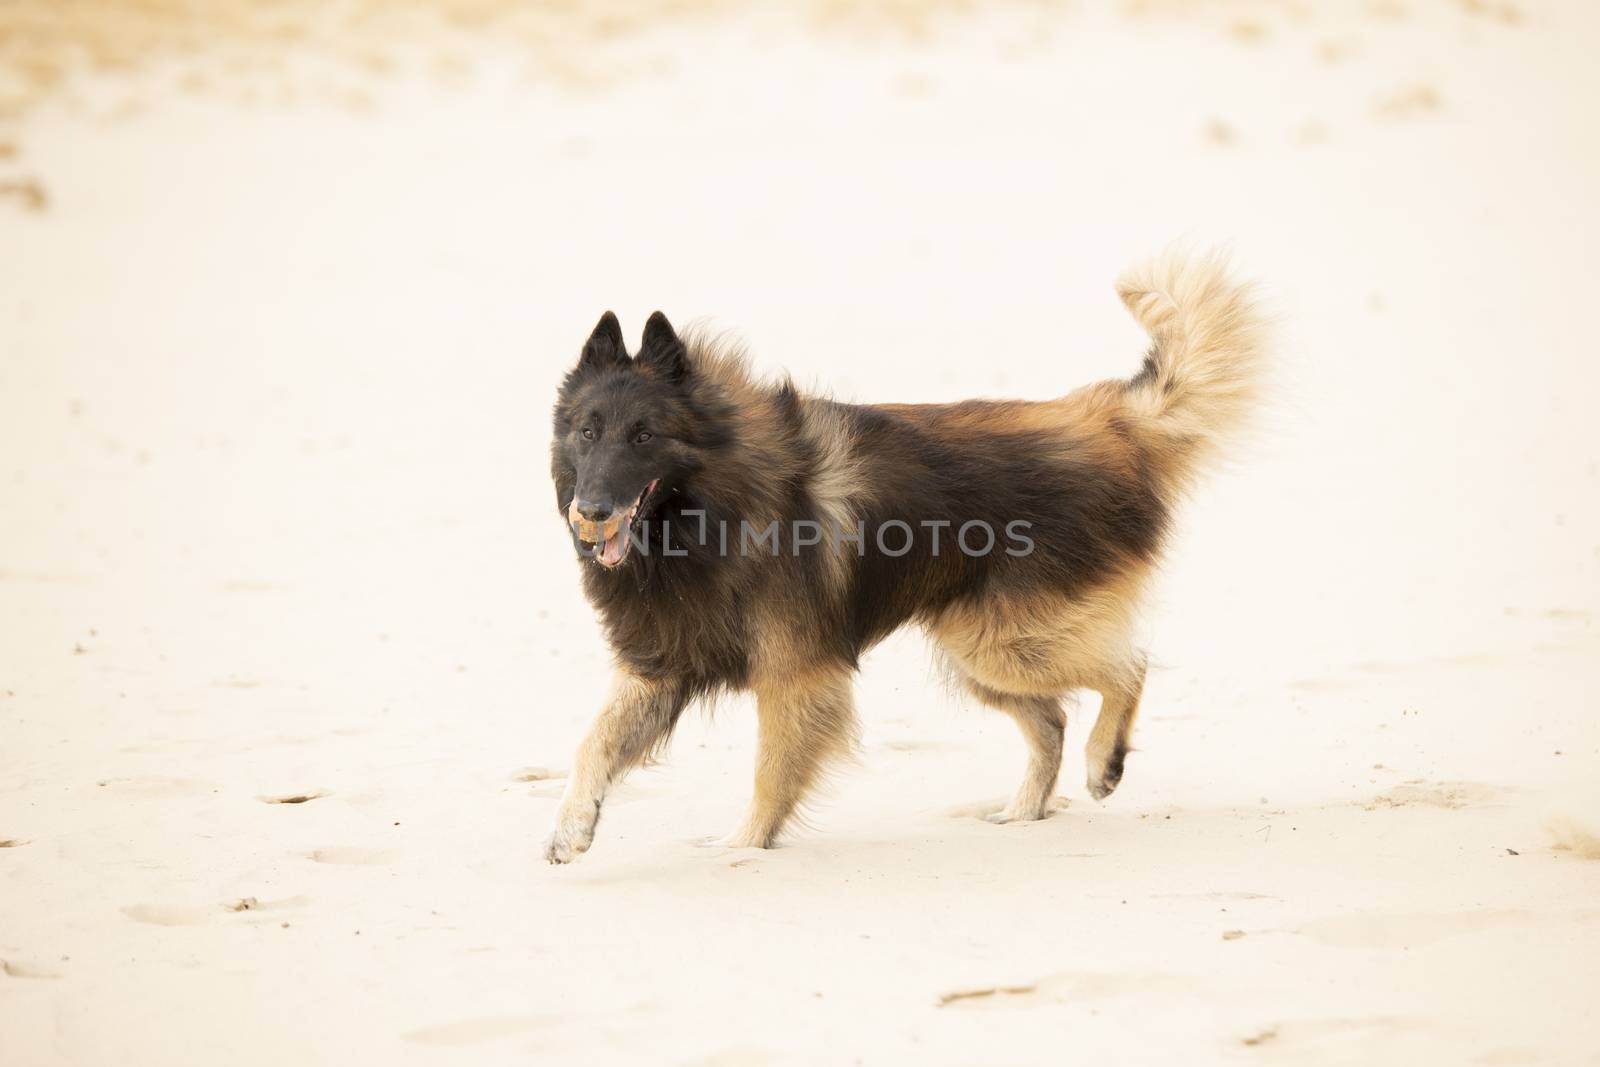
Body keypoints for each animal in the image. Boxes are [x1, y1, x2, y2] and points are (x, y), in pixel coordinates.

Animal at [547, 254, 1260, 863]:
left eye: (644, 435)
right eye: (587, 431)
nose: (591, 511)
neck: (712, 504)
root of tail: (1108, 420)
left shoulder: (795, 675)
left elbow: (769, 776)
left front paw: (742, 848)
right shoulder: (659, 664)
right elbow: (592, 743)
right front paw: (573, 826)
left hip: (1005, 638)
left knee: (1127, 668)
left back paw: (1103, 761)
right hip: (985, 645)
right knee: (1054, 718)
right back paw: (1023, 811)